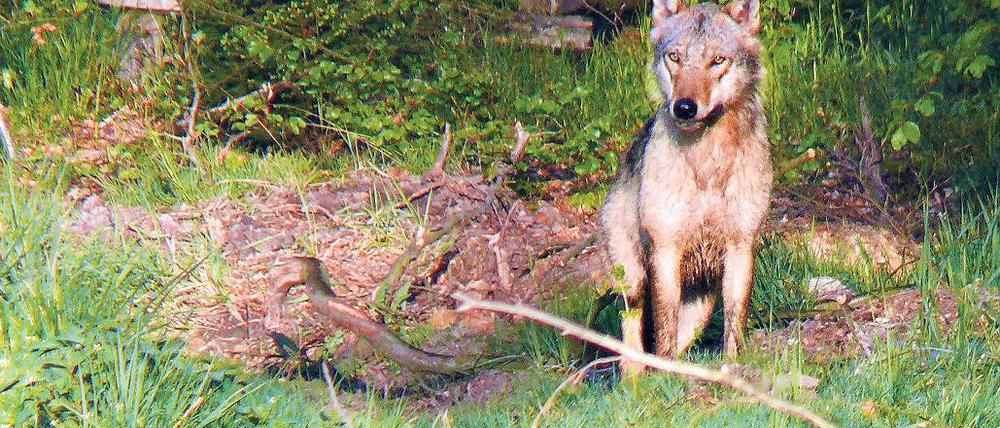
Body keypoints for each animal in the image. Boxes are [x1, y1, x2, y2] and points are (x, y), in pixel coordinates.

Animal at [601, 0, 772, 372]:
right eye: (675, 57)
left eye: (717, 60)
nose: (684, 107)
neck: (708, 163)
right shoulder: (665, 250)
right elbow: (663, 330)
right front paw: (665, 377)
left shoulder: (741, 247)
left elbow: (735, 324)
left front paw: (733, 370)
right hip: (634, 283)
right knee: (634, 346)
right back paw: (637, 381)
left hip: (702, 305)